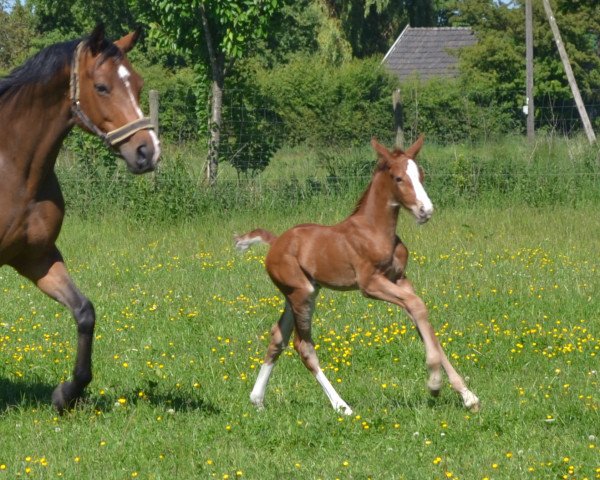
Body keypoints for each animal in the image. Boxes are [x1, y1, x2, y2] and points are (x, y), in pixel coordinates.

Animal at [0, 24, 159, 410]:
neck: (11, 165)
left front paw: (67, 393)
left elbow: (85, 311)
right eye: (102, 87)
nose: (148, 152)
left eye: (138, 84)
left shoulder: (37, 257)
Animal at [237, 137, 480, 414]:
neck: (375, 231)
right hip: (301, 294)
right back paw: (342, 406)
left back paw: (257, 400)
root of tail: (275, 242)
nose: (425, 210)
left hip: (299, 292)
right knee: (303, 346)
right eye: (398, 178)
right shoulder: (370, 284)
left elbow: (421, 319)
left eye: (421, 175)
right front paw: (435, 383)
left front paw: (467, 396)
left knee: (278, 338)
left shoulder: (400, 279)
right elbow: (417, 306)